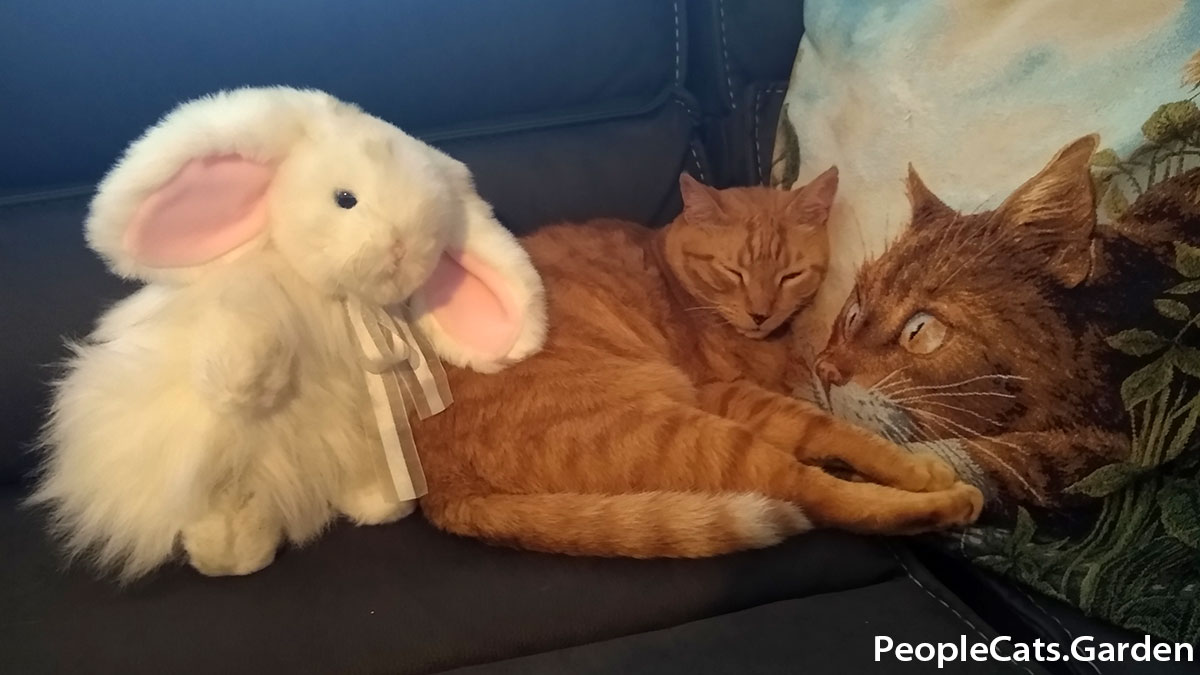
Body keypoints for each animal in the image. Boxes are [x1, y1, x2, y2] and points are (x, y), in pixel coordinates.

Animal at [412, 170, 984, 554]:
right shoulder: (725, 392)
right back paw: (949, 501)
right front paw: (916, 468)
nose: (760, 313)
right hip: (690, 434)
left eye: (789, 276)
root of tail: (442, 489)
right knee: (816, 493)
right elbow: (832, 428)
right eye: (732, 272)